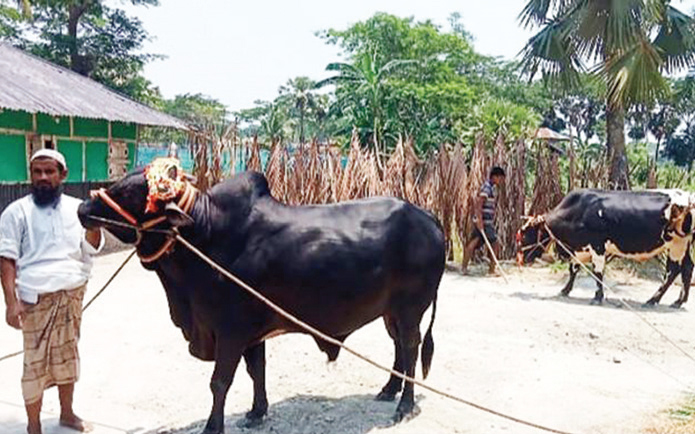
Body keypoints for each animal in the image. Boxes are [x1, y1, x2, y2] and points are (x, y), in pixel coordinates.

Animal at [77, 168, 446, 432]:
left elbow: (220, 382)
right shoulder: (251, 333)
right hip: (391, 312)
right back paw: (389, 390)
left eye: (126, 192)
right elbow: (257, 370)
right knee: (399, 348)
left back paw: (403, 405)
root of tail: (428, 217)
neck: (205, 234)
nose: (82, 207)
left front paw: (213, 427)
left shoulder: (230, 330)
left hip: (411, 308)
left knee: (410, 348)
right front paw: (257, 412)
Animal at [516, 188, 695, 306]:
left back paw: (653, 300)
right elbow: (573, 269)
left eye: (524, 235)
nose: (521, 258)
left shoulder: (597, 246)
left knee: (673, 271)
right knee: (687, 267)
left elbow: (597, 273)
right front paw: (565, 290)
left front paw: (597, 297)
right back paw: (679, 301)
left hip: (676, 244)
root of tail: (689, 195)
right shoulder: (580, 249)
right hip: (684, 244)